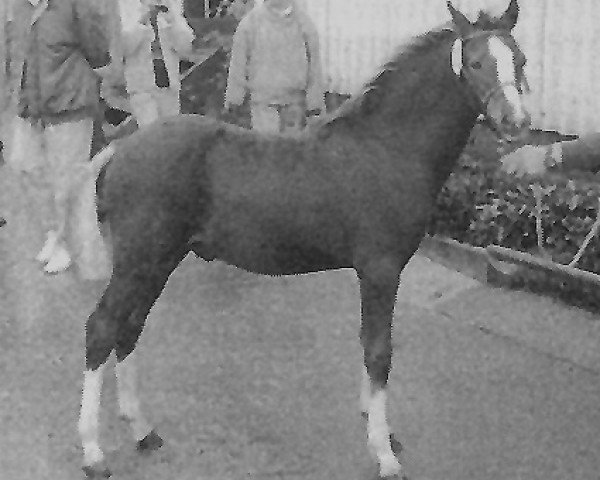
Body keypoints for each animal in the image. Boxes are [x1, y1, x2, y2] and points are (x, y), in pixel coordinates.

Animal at [76, 1, 528, 478]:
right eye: (476, 63)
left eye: (519, 60)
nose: (516, 122)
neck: (387, 148)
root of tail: (118, 152)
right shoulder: (381, 269)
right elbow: (379, 353)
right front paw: (384, 453)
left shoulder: (373, 273)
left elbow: (368, 345)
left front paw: (381, 430)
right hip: (139, 262)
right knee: (102, 328)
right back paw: (93, 451)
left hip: (157, 262)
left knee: (128, 329)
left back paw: (143, 430)